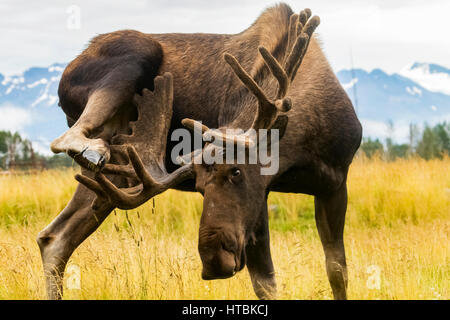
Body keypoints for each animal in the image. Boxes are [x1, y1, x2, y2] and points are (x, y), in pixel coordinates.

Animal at [37, 3, 364, 300]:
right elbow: (266, 283)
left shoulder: (334, 184)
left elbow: (337, 271)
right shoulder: (264, 196)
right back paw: (86, 147)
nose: (213, 263)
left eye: (236, 172)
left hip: (114, 177)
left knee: (55, 237)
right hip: (136, 54)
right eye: (199, 187)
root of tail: (65, 75)